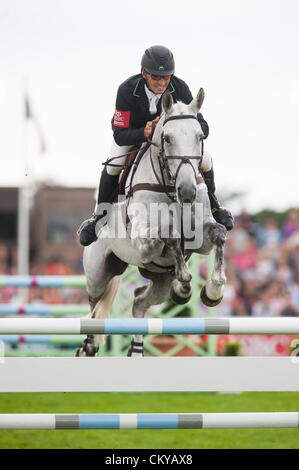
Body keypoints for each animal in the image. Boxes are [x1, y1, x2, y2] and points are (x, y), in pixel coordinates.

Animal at [77, 89, 227, 356]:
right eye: (167, 138)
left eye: (200, 136)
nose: (187, 192)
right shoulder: (143, 241)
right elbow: (169, 234)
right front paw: (185, 282)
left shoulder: (202, 239)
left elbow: (218, 234)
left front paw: (212, 291)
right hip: (97, 273)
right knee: (94, 307)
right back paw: (89, 346)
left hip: (158, 281)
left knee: (138, 300)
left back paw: (137, 347)